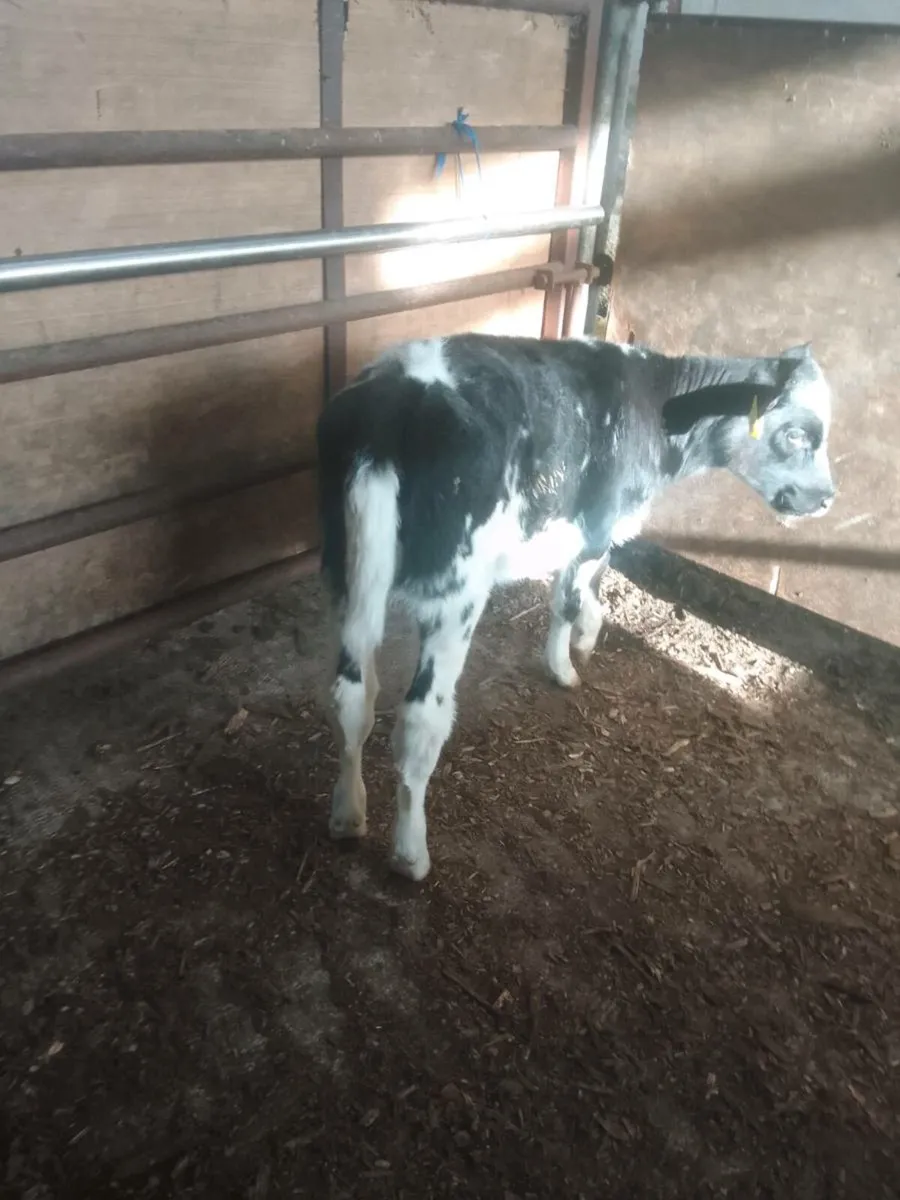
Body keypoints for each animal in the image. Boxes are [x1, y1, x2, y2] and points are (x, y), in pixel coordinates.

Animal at [315, 333, 835, 881]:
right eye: (796, 433)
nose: (826, 498)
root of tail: (393, 401)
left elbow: (584, 590)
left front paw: (588, 634)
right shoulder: (595, 525)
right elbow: (568, 596)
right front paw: (565, 666)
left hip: (347, 571)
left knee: (352, 696)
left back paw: (348, 814)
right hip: (455, 591)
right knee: (420, 719)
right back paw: (411, 853)